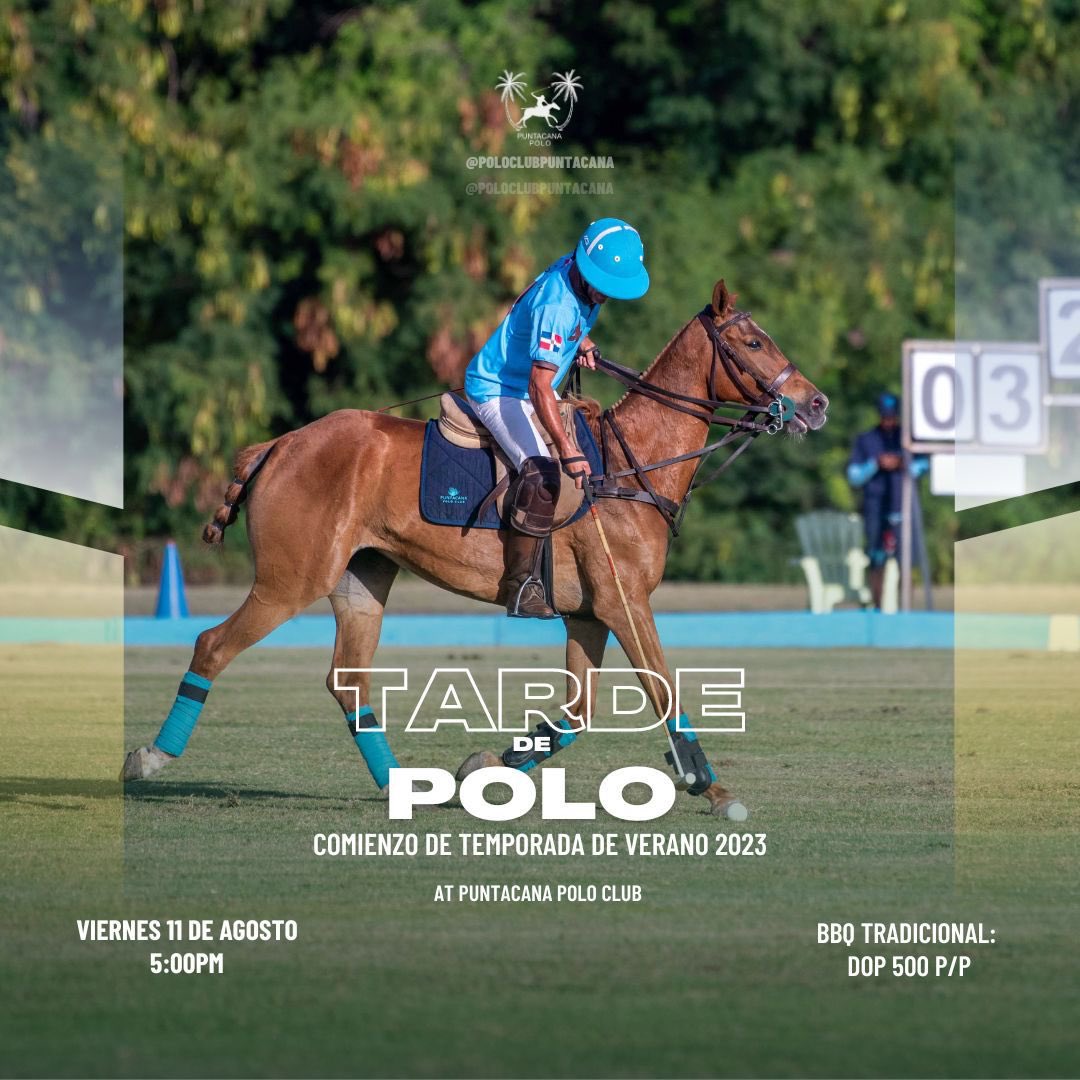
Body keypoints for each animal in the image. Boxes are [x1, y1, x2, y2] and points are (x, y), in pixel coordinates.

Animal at [121, 280, 828, 818]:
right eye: (753, 341)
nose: (816, 404)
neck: (635, 465)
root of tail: (278, 444)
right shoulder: (624, 602)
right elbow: (662, 690)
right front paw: (715, 789)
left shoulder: (588, 613)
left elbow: (577, 712)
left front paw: (480, 766)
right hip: (290, 578)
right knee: (213, 645)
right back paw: (149, 758)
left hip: (361, 579)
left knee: (348, 682)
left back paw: (405, 789)